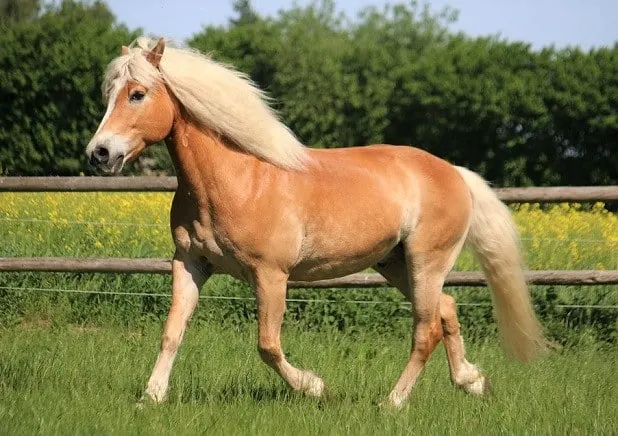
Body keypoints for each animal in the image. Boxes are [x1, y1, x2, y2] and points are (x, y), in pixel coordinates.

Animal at [83, 37, 544, 408]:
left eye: (138, 94)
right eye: (109, 93)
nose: (99, 154)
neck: (237, 179)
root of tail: (455, 173)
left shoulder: (271, 275)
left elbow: (267, 345)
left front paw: (314, 387)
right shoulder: (190, 263)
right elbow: (172, 331)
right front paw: (151, 398)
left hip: (426, 262)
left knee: (425, 330)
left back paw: (393, 402)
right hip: (396, 264)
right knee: (446, 311)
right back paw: (471, 381)